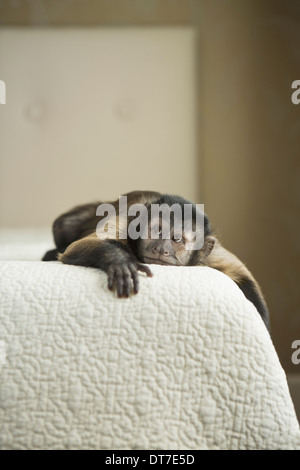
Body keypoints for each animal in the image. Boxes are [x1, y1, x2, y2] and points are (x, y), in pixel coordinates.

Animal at [42, 190, 270, 330]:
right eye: (157, 231)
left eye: (176, 239)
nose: (161, 248)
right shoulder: (126, 221)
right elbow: (77, 247)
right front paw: (120, 263)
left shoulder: (210, 255)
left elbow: (243, 276)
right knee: (64, 224)